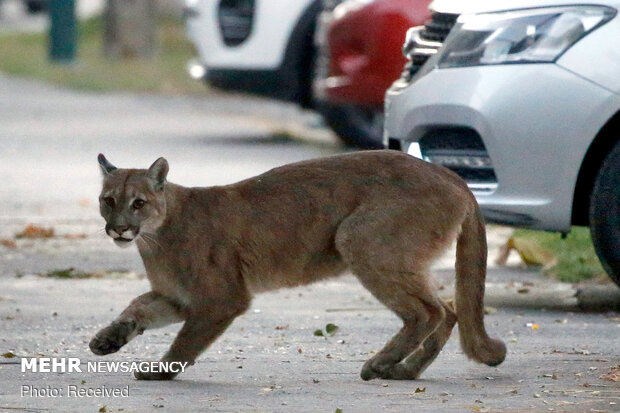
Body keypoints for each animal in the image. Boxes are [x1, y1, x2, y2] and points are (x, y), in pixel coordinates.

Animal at [93, 150, 508, 380]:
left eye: (138, 203)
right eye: (108, 200)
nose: (118, 228)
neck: (155, 237)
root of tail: (451, 174)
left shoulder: (220, 299)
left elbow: (185, 341)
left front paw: (161, 371)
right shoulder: (178, 297)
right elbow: (138, 307)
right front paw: (108, 339)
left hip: (358, 239)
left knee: (428, 312)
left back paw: (380, 364)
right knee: (450, 309)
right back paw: (405, 371)